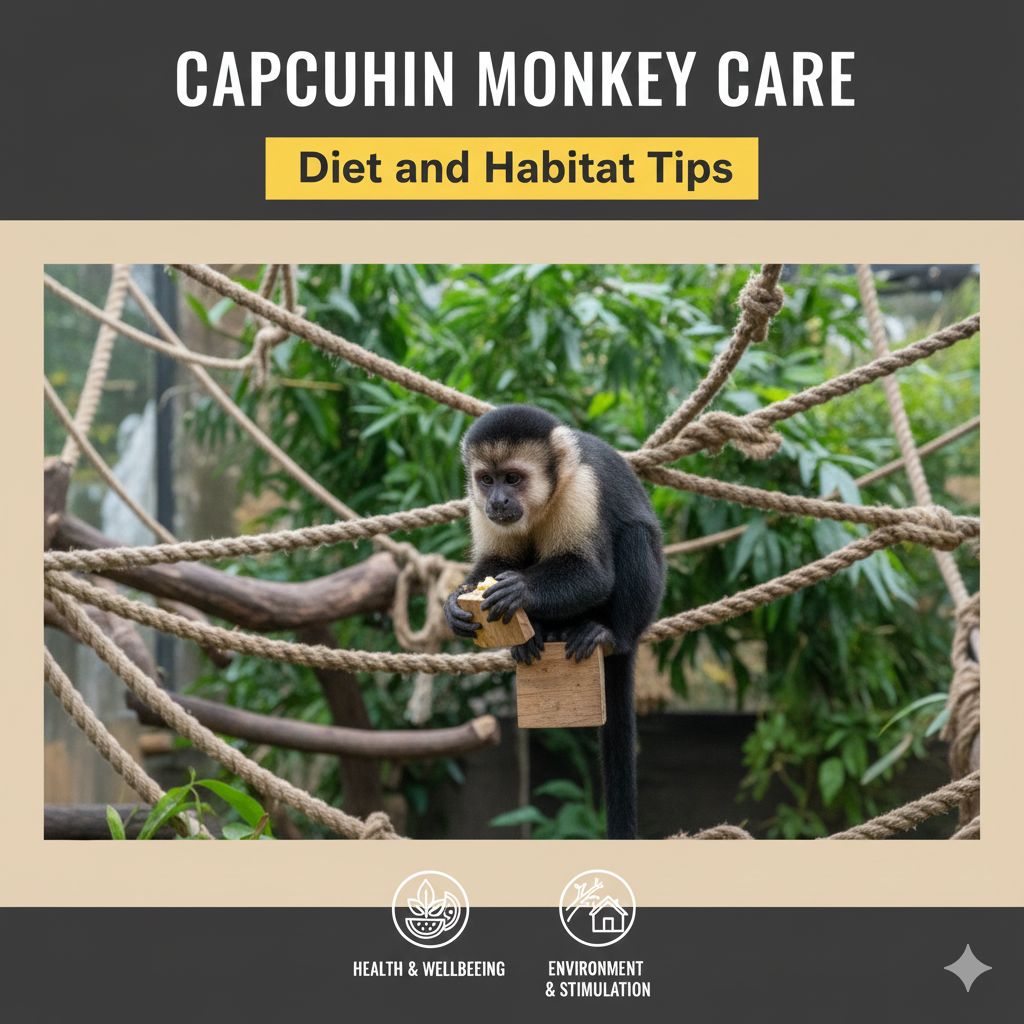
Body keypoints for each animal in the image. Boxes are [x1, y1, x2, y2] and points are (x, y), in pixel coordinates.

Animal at [443, 404, 666, 840]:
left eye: (513, 478)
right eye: (486, 479)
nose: (497, 499)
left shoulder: (582, 488)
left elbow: (593, 574)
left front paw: (520, 590)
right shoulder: (475, 503)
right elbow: (494, 562)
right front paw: (455, 603)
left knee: (634, 536)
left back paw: (609, 635)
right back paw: (538, 637)